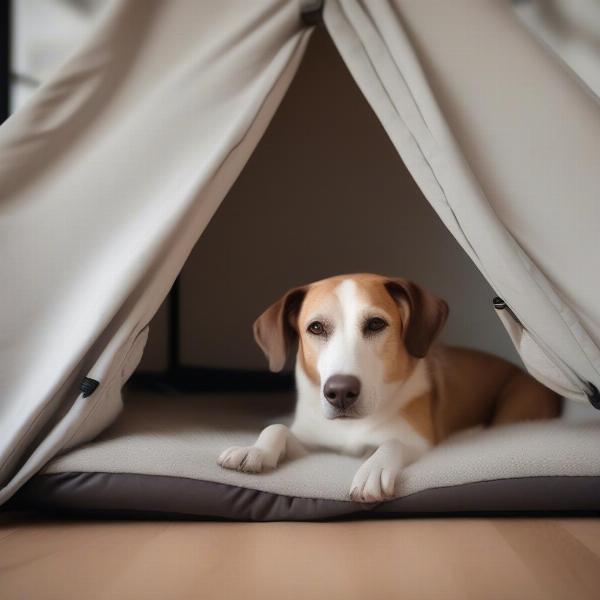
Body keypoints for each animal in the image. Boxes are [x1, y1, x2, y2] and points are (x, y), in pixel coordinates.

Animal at [217, 274, 564, 502]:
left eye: (375, 324)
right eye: (315, 327)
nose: (340, 392)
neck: (351, 428)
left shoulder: (418, 440)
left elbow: (392, 442)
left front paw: (373, 469)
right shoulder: (314, 440)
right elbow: (277, 428)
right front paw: (255, 450)